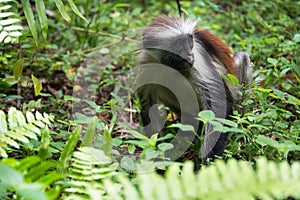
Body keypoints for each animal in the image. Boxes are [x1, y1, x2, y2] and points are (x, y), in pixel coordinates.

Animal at [136, 14, 253, 163]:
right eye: (177, 44)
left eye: (189, 42)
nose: (189, 55)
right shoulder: (146, 62)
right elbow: (148, 106)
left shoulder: (197, 63)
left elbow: (219, 105)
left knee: (243, 57)